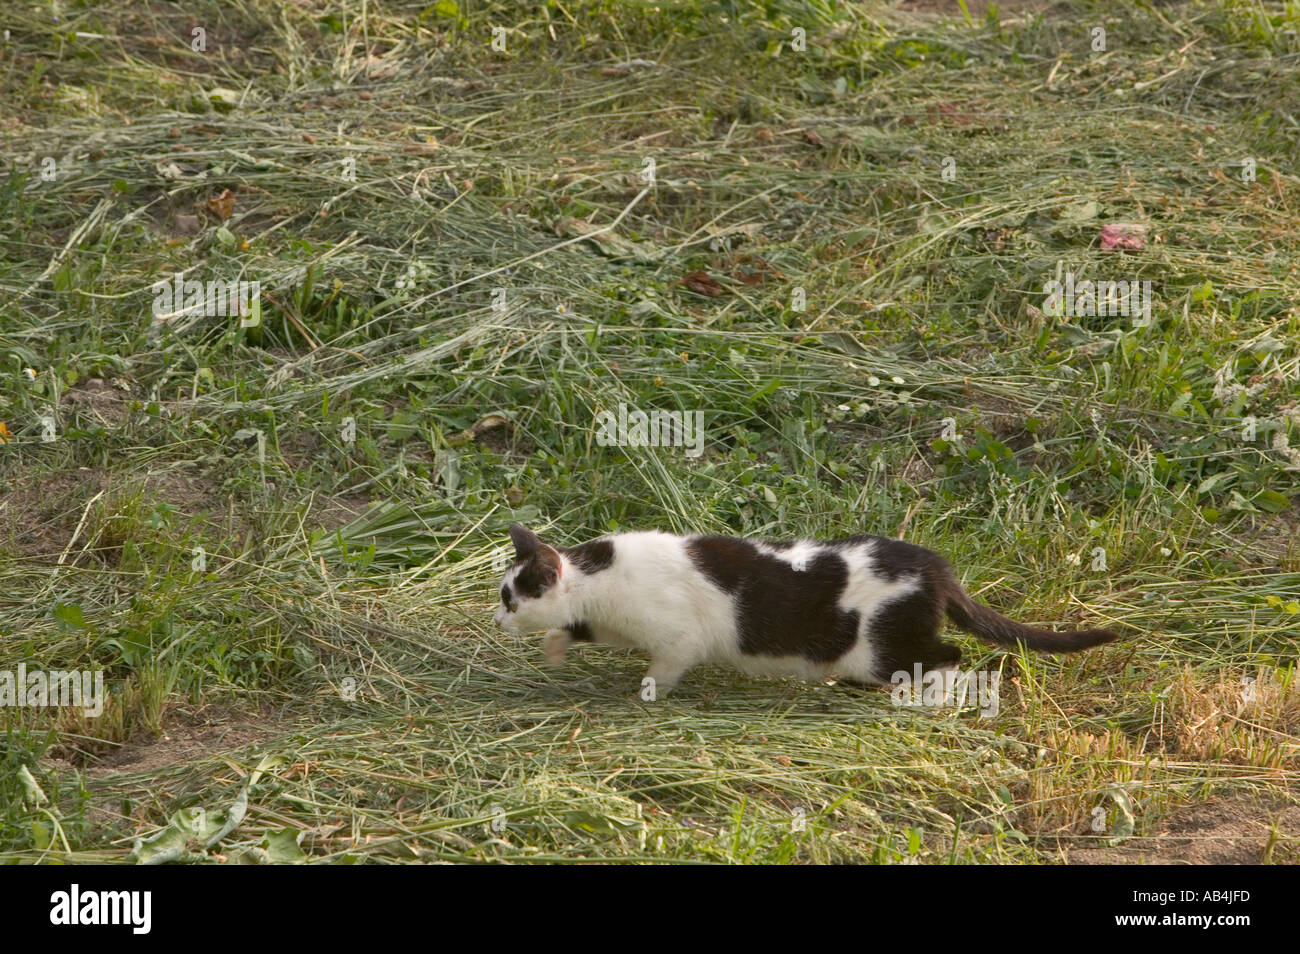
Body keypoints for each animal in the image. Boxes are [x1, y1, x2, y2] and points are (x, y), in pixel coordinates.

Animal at [496, 522, 1118, 696]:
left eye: (509, 598)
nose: (496, 618)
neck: (601, 576)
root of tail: (935, 565)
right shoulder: (615, 623)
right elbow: (579, 631)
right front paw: (555, 649)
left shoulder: (677, 640)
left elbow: (661, 672)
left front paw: (645, 697)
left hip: (881, 646)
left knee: (948, 653)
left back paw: (921, 699)